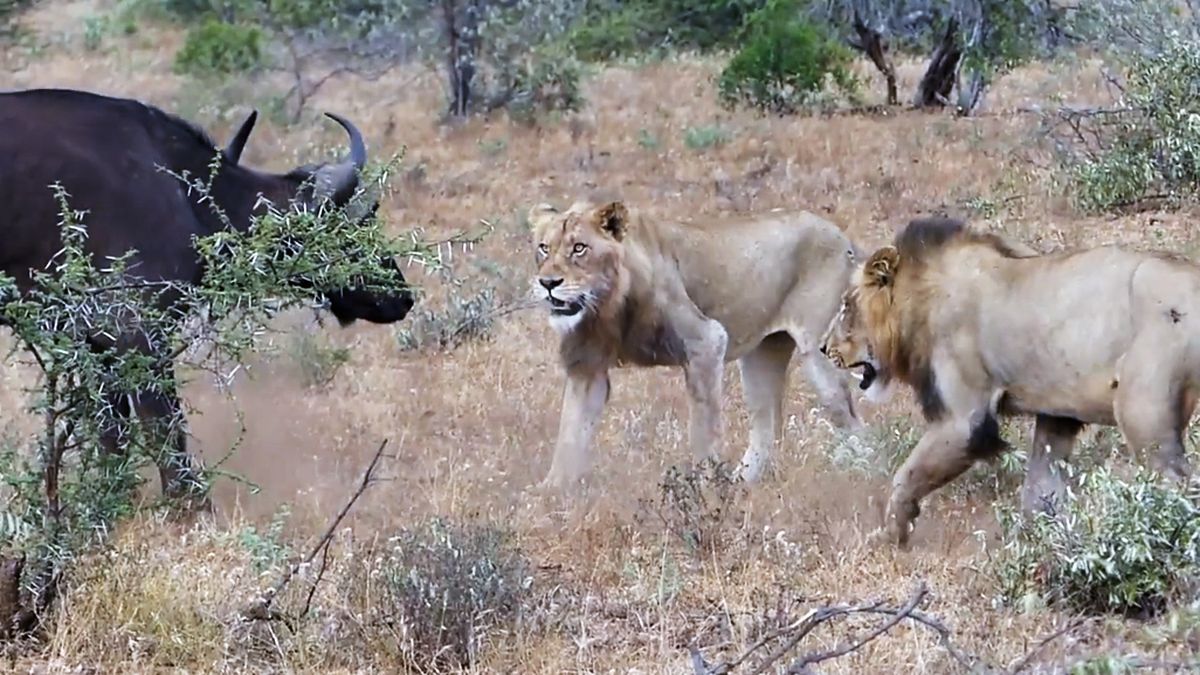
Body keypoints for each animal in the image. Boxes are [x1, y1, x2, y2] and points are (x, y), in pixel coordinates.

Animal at [0, 89, 415, 506]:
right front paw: (189, 507)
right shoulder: (139, 335)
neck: (184, 190)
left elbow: (112, 438)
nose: (403, 297)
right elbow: (166, 435)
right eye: (355, 223)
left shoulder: (96, 344)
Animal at [530, 196, 868, 485]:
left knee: (854, 424)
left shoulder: (706, 341)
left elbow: (704, 429)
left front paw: (705, 488)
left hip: (821, 355)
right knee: (766, 428)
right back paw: (743, 483)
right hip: (762, 357)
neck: (606, 306)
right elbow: (570, 436)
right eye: (544, 248)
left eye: (579, 248)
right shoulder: (586, 366)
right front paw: (551, 496)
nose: (548, 283)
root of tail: (841, 236)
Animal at [820, 214, 1200, 547]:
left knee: (1177, 484)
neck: (917, 301)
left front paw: (891, 533)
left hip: (1143, 412)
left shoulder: (965, 420)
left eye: (846, 306)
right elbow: (1040, 488)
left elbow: (907, 475)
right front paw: (1036, 545)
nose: (824, 347)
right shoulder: (1057, 414)